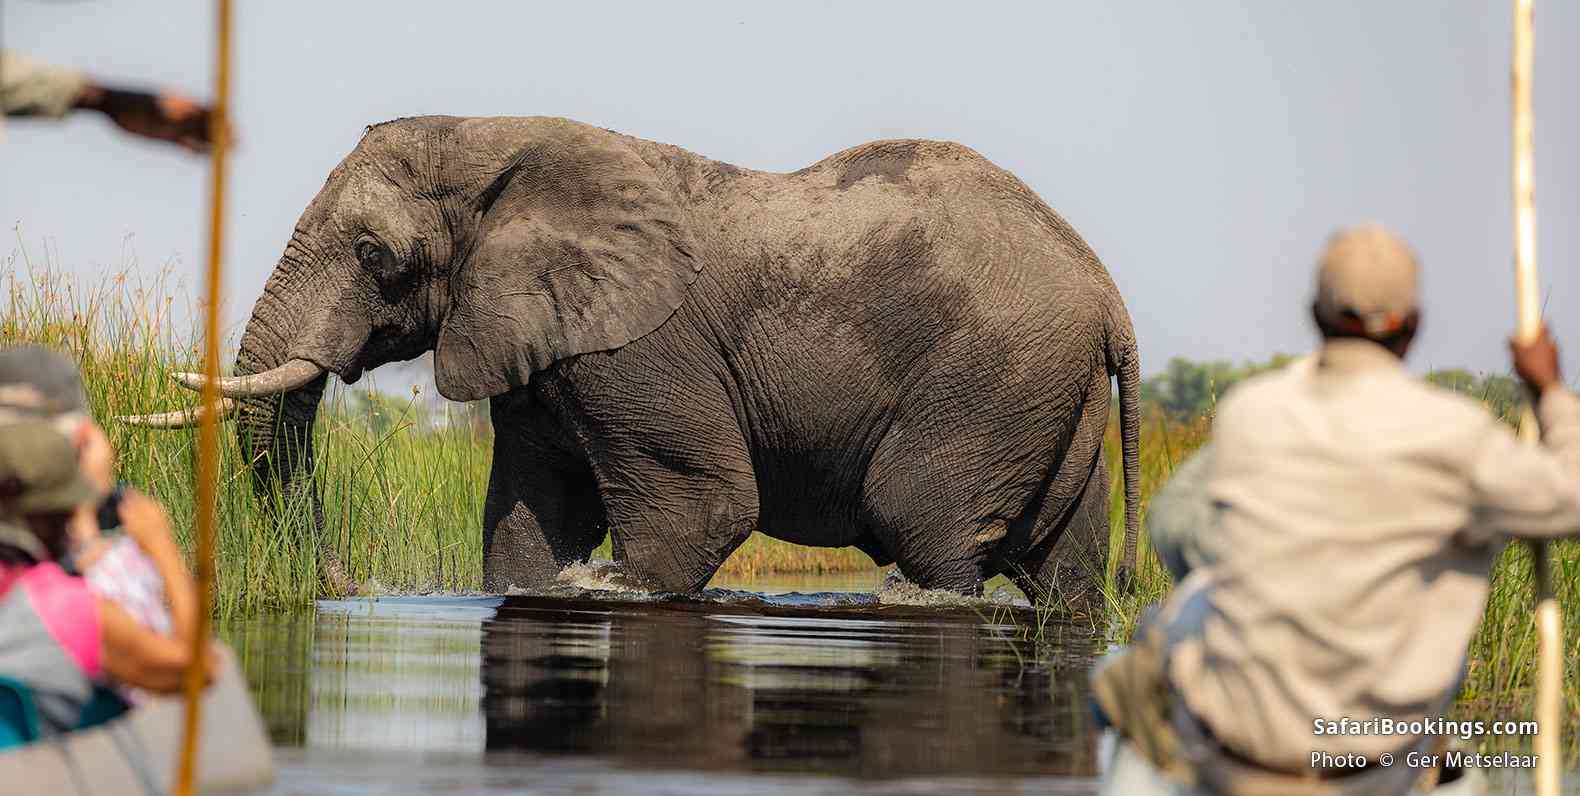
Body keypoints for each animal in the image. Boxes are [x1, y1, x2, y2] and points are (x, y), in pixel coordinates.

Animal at [125, 116, 1142, 601]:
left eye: (376, 255)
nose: (345, 586)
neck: (499, 142)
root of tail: (1106, 293)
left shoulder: (641, 345)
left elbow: (707, 503)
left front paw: (609, 585)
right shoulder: (539, 339)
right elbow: (528, 519)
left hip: (990, 375)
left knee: (921, 524)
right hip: (1047, 393)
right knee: (1063, 564)